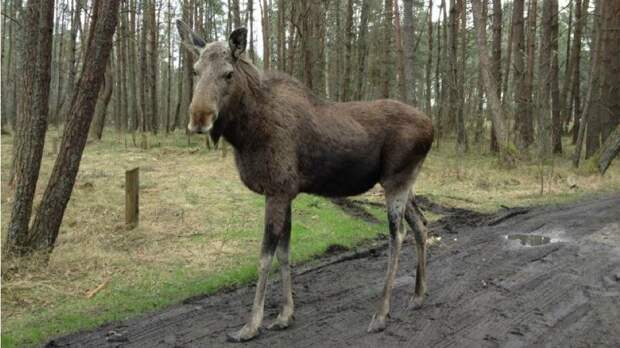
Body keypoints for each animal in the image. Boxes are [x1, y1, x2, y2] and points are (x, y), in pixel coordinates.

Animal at [177, 20, 434, 342]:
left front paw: (251, 325)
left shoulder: (276, 190)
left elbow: (265, 257)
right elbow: (285, 252)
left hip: (395, 180)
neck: (244, 134)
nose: (199, 118)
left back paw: (381, 313)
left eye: (228, 73)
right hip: (407, 182)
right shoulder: (285, 191)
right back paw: (418, 295)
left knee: (397, 234)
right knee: (421, 224)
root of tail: (432, 127)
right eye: (195, 70)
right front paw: (285, 315)